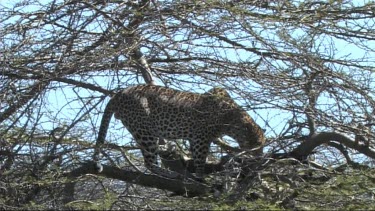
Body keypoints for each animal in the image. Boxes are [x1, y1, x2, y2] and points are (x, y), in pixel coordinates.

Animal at [93, 84, 266, 180]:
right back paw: (171, 174)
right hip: (144, 130)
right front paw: (201, 176)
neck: (231, 119)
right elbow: (200, 157)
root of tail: (119, 93)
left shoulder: (194, 138)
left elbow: (195, 155)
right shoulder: (201, 137)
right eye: (258, 146)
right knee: (149, 162)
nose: (260, 158)